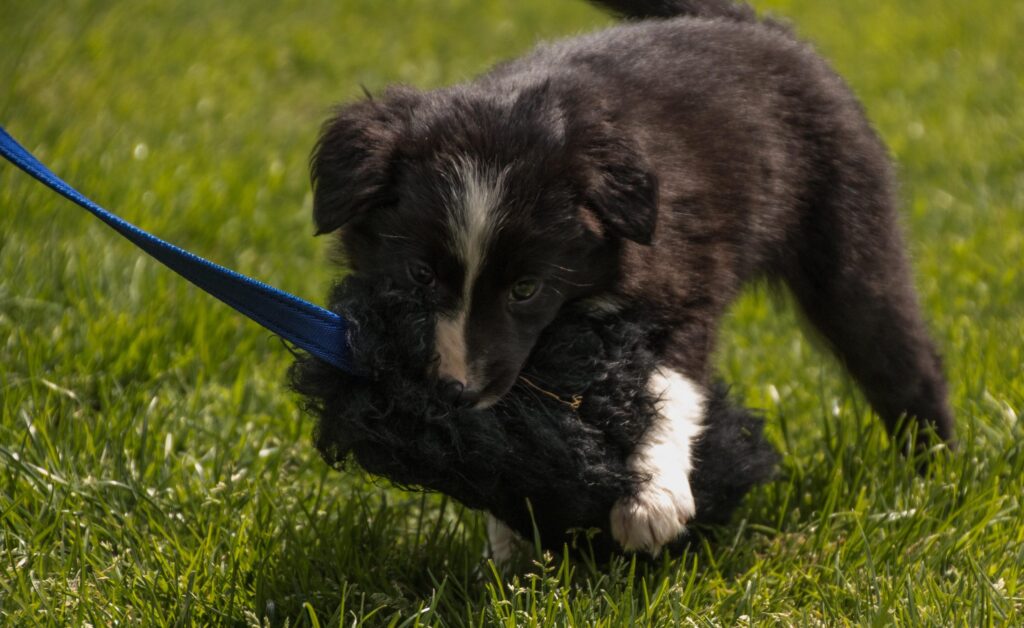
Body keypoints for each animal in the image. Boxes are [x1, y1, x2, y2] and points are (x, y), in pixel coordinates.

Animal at [307, 0, 954, 557]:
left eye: (526, 289)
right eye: (419, 276)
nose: (458, 393)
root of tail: (757, 26)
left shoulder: (680, 280)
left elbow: (666, 384)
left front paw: (651, 499)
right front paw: (511, 532)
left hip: (845, 232)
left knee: (899, 355)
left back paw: (934, 481)